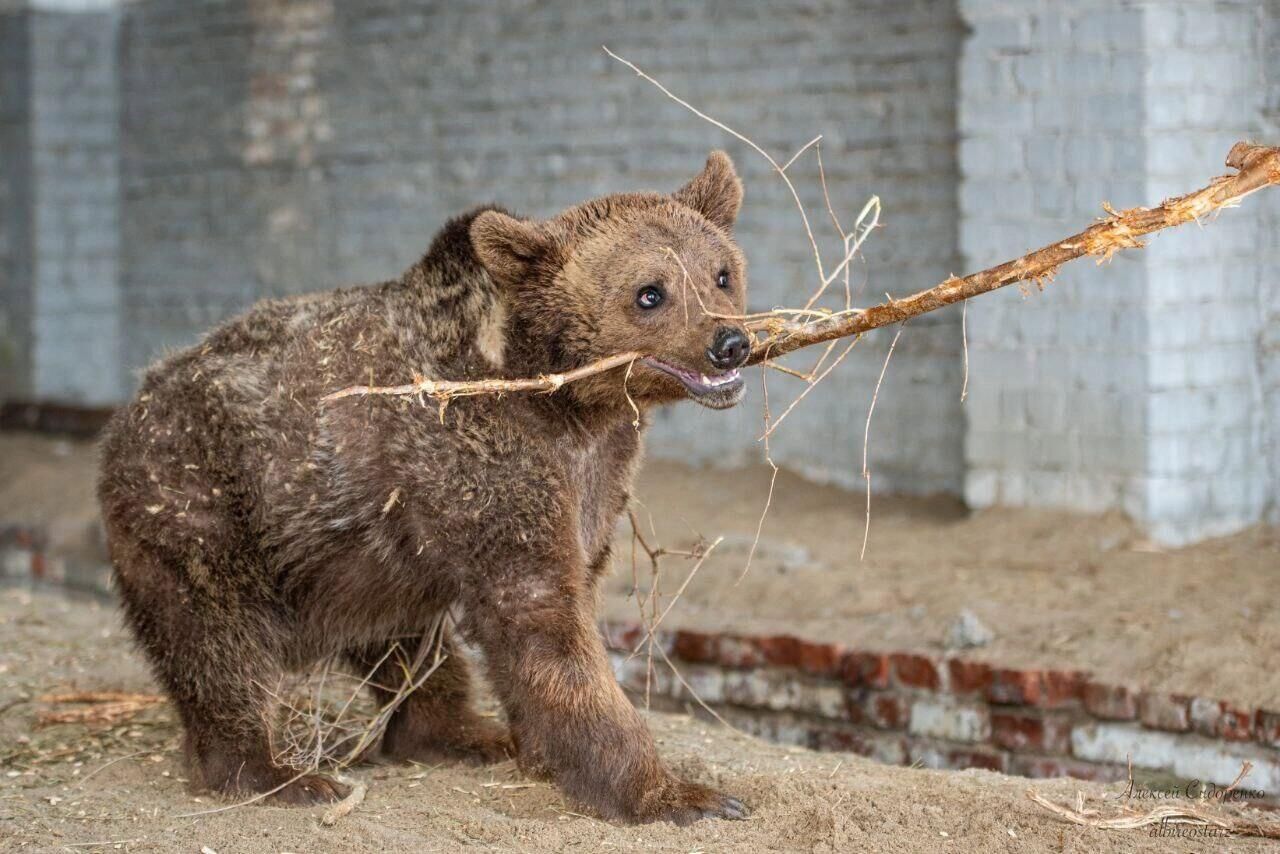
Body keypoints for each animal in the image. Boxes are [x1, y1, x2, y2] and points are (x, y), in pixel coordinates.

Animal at [99, 150, 752, 824]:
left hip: (361, 557)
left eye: (721, 274)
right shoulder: (492, 466)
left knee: (406, 638)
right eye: (650, 292)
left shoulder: (593, 478)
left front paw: (544, 752)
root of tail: (130, 407)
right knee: (214, 639)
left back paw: (462, 733)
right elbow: (545, 619)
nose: (730, 343)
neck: (566, 400)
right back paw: (277, 772)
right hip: (202, 503)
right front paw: (679, 794)